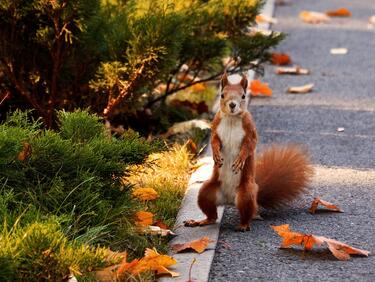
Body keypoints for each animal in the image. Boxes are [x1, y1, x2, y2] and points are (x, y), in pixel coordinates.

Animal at [185, 72, 314, 231]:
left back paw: (243, 225)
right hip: (206, 191)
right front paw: (216, 154)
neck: (232, 119)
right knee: (212, 215)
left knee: (247, 213)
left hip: (246, 194)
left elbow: (249, 146)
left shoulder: (250, 130)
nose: (232, 105)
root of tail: (229, 200)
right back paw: (200, 221)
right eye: (222, 95)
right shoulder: (215, 127)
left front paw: (240, 159)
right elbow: (214, 141)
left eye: (243, 96)